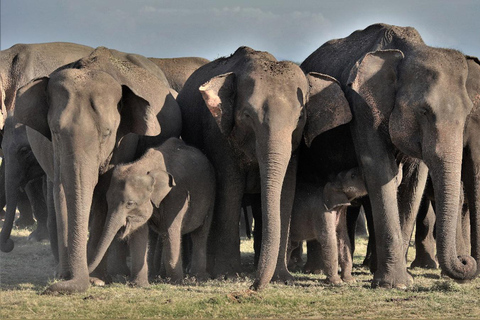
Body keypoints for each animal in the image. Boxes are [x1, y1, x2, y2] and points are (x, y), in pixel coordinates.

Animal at [13, 46, 182, 294]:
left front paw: (96, 279)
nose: (53, 288)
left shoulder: (124, 141)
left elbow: (103, 193)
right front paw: (66, 275)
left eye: (107, 133)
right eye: (55, 131)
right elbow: (62, 190)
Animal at [88, 138, 216, 284]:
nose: (94, 280)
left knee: (199, 234)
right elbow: (140, 232)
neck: (145, 165)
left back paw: (197, 276)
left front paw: (176, 282)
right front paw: (140, 285)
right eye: (108, 201)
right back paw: (161, 275)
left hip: (211, 194)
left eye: (130, 203)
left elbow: (171, 230)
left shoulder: (176, 195)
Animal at [176, 47, 352, 290]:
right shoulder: (218, 136)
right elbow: (230, 190)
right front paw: (228, 275)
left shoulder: (295, 148)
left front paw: (283, 278)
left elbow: (286, 191)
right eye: (247, 115)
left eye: (300, 117)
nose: (253, 287)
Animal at [302, 22, 478, 288]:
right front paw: (392, 283)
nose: (466, 261)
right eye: (423, 111)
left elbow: (414, 183)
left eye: (468, 113)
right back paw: (315, 270)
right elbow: (379, 171)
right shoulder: (362, 107)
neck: (409, 49)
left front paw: (404, 280)